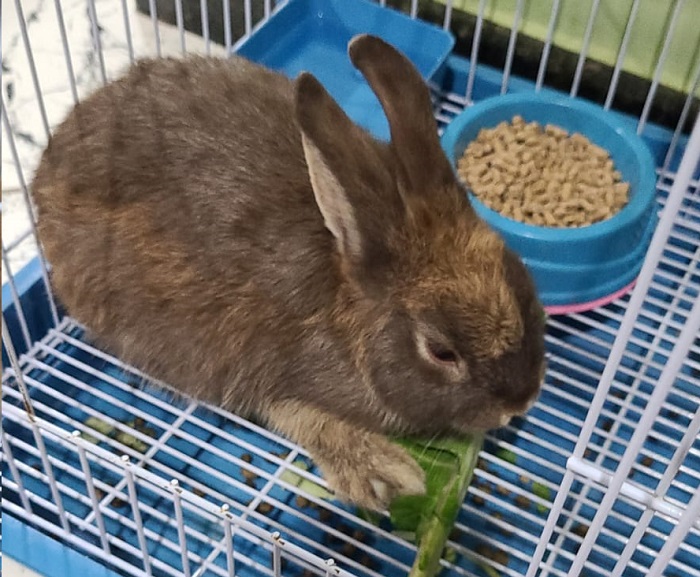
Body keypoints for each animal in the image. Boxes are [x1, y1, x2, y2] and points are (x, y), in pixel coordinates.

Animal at [32, 34, 546, 511]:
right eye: (441, 352)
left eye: (522, 276)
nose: (518, 404)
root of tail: (45, 171)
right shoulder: (259, 365)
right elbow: (298, 413)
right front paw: (383, 473)